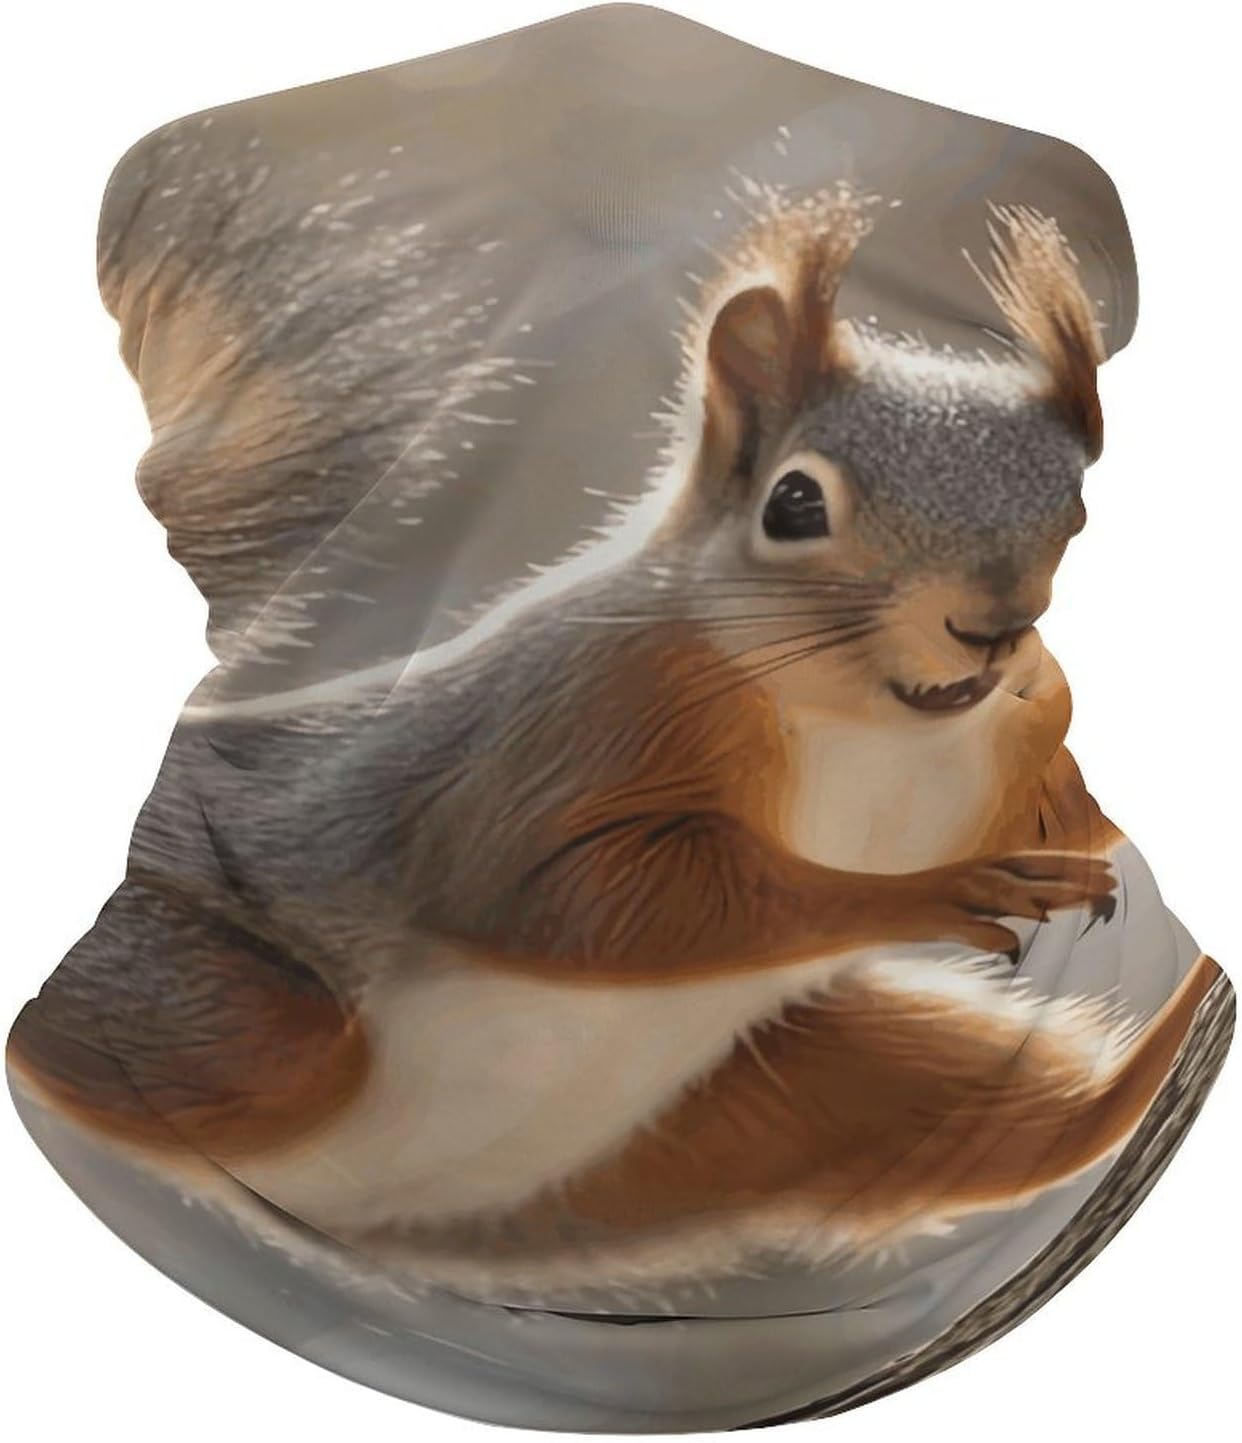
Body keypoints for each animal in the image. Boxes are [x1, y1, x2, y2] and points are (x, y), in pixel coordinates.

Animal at [9, 182, 1222, 1292]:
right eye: (794, 504)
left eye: (1075, 511)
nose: (992, 628)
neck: (872, 731)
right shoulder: (577, 724)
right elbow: (592, 896)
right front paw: (944, 890)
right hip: (237, 1022)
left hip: (788, 1092)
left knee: (998, 1122)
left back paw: (1176, 1038)